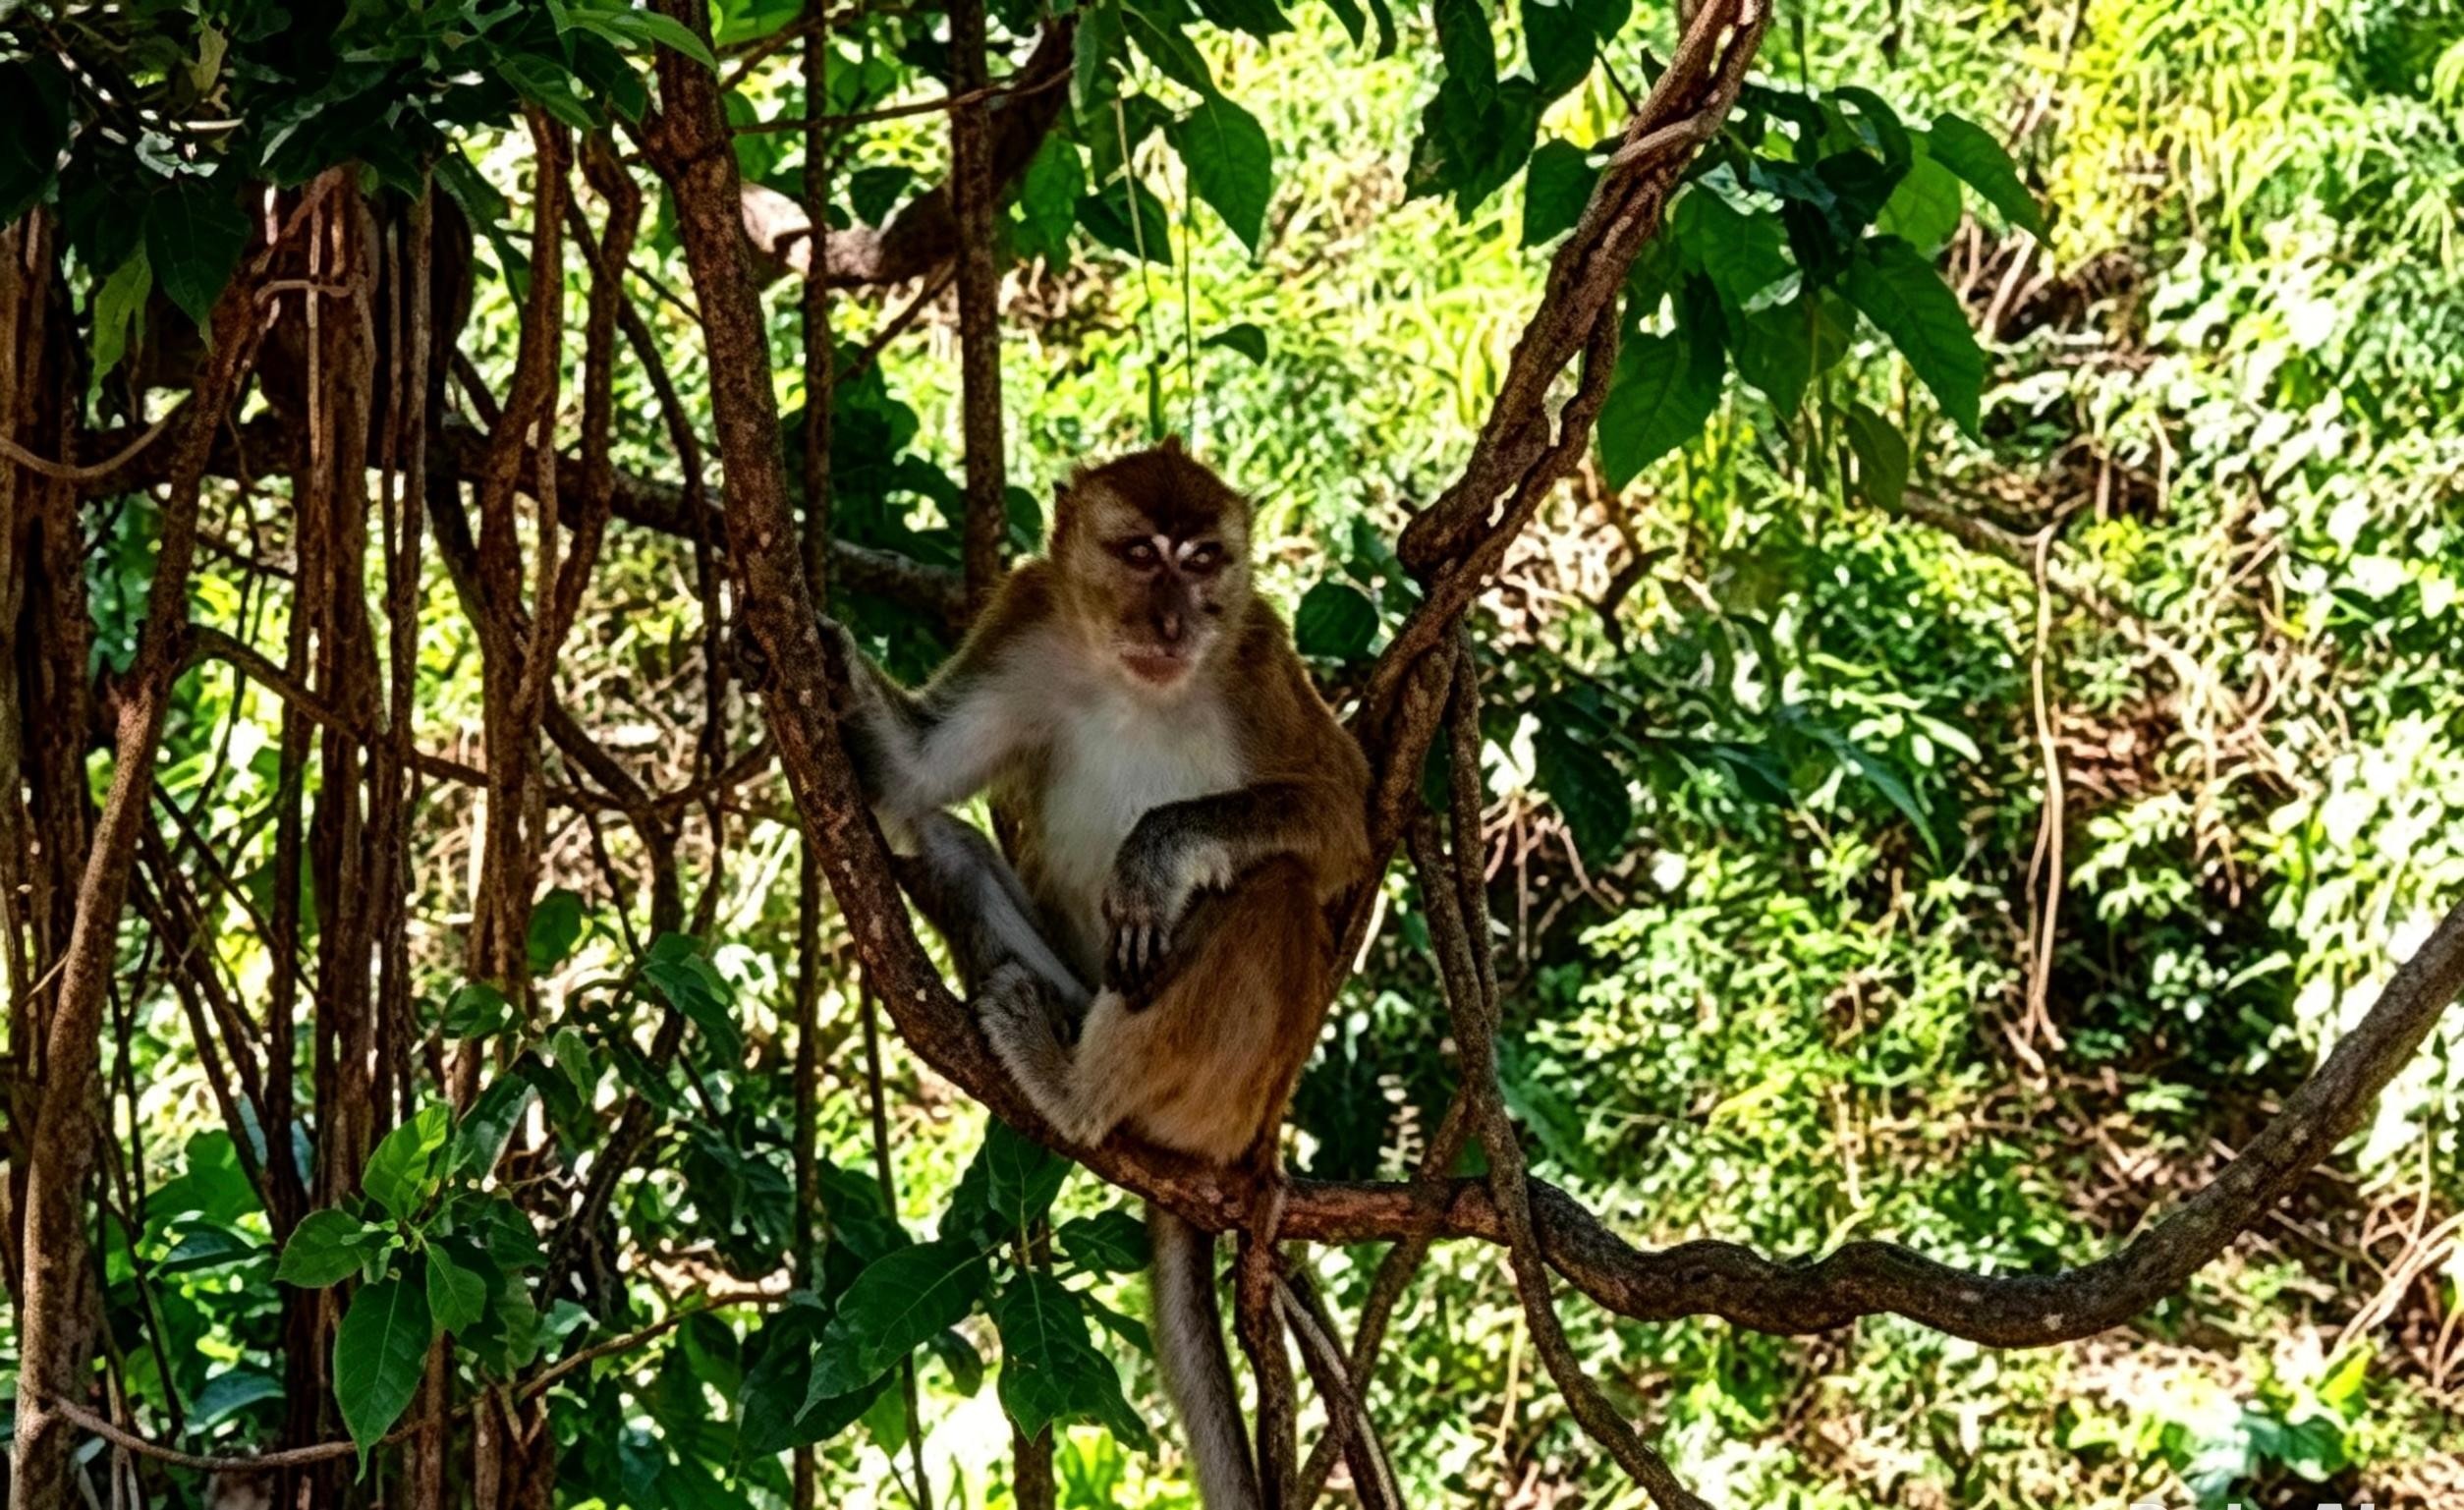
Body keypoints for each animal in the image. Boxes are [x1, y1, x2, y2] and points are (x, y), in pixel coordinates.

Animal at [829, 441, 1373, 1510]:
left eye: (1203, 561)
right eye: (1138, 554)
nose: (1174, 621)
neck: (1139, 684)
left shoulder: (1257, 659)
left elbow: (1343, 823)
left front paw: (1160, 852)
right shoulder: (1030, 618)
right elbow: (912, 781)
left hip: (1220, 1092)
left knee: (1273, 887)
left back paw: (1079, 1096)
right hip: (1099, 998)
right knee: (947, 842)